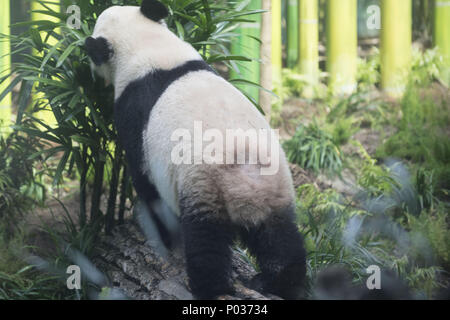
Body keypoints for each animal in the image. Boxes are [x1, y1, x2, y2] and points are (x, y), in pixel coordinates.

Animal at [85, 0, 306, 300]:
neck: (147, 48)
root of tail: (245, 178)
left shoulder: (133, 112)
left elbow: (144, 179)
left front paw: (160, 236)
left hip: (205, 187)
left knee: (206, 244)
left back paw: (211, 288)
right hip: (276, 189)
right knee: (280, 238)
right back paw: (278, 282)